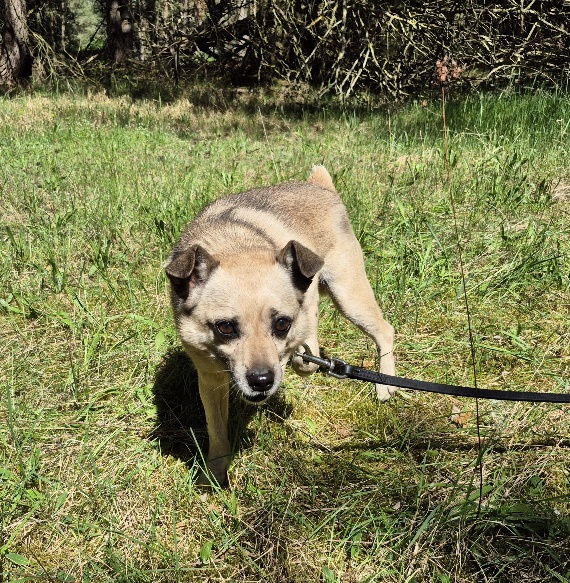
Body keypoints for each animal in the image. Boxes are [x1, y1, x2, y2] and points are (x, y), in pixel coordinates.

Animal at [165, 166, 395, 485]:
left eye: (282, 324)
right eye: (225, 327)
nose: (262, 380)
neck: (236, 247)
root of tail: (321, 187)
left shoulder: (303, 315)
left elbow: (304, 352)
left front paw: (299, 359)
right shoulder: (210, 379)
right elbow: (217, 433)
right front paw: (214, 473)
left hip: (348, 296)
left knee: (384, 330)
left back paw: (385, 383)